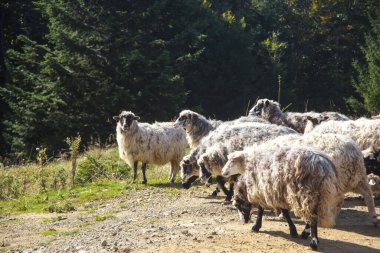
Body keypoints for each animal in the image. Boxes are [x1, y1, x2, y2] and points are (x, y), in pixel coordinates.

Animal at [223, 133, 378, 226]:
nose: (224, 172)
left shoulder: (273, 181)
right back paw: (372, 217)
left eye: (232, 161)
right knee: (367, 194)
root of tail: (354, 150)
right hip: (356, 177)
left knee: (342, 198)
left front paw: (279, 213)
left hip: (339, 179)